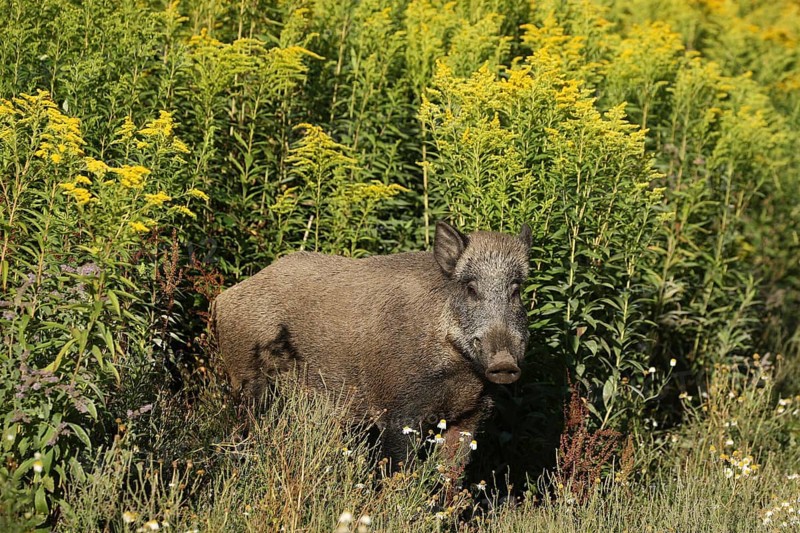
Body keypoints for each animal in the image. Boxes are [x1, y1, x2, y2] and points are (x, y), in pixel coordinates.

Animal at [212, 221, 532, 464]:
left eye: (516, 290)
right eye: (471, 288)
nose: (504, 363)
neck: (458, 369)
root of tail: (223, 299)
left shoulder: (470, 416)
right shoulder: (397, 411)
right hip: (247, 378)